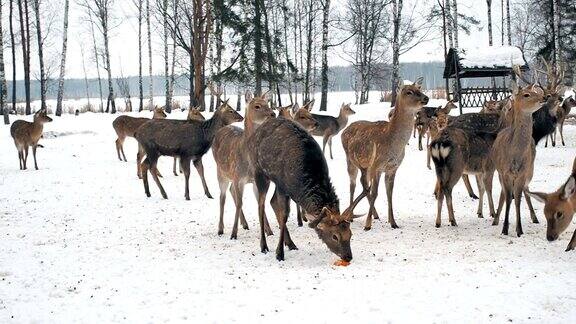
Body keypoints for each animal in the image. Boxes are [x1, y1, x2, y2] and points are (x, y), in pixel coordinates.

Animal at [212, 90, 276, 239]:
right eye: (257, 106)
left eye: (267, 103)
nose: (273, 114)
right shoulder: (238, 177)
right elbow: (240, 203)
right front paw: (233, 233)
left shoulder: (256, 180)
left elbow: (260, 202)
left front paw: (269, 231)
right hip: (221, 172)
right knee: (222, 197)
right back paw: (221, 229)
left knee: (231, 192)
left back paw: (245, 224)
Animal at [248, 115, 364, 262]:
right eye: (334, 236)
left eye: (350, 234)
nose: (348, 257)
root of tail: (254, 134)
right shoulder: (282, 185)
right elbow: (284, 214)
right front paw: (279, 253)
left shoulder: (287, 188)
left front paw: (285, 247)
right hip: (258, 171)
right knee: (261, 205)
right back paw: (264, 246)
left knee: (271, 201)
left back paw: (290, 244)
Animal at [342, 78, 428, 230]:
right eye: (409, 92)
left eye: (419, 88)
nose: (426, 98)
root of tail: (343, 131)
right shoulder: (376, 165)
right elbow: (375, 193)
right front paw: (367, 225)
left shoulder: (392, 168)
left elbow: (389, 194)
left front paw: (393, 222)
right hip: (350, 160)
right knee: (353, 184)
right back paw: (350, 216)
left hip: (365, 166)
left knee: (363, 184)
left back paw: (372, 214)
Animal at [488, 82, 548, 237]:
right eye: (526, 94)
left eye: (536, 92)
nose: (545, 97)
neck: (514, 154)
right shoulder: (505, 172)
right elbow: (509, 198)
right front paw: (505, 229)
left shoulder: (522, 173)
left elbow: (518, 200)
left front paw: (519, 229)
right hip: (500, 172)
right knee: (504, 193)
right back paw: (495, 220)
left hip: (530, 171)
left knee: (526, 190)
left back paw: (534, 218)